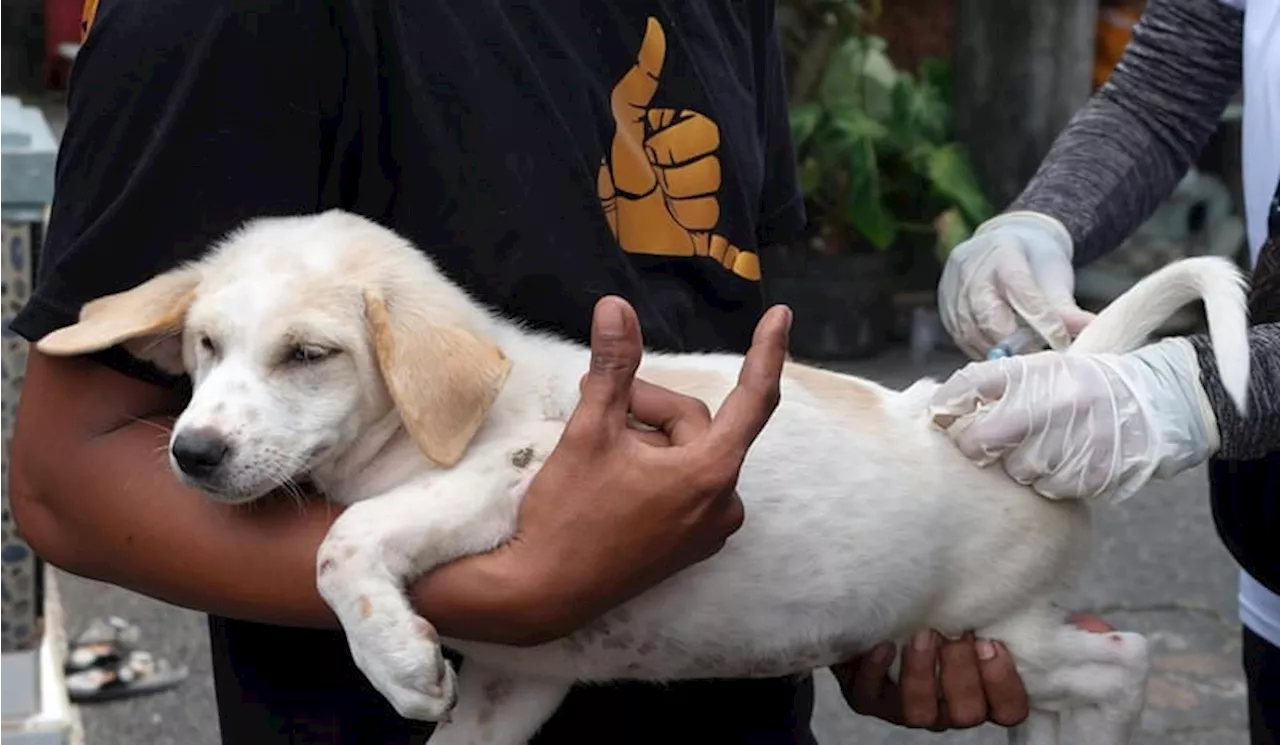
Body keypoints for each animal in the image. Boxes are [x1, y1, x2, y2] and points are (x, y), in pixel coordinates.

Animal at [40, 209, 1249, 745]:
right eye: (204, 348)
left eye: (307, 355)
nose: (193, 452)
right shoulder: (513, 681)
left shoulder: (519, 478)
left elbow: (347, 542)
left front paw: (395, 662)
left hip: (993, 620)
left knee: (1124, 661)